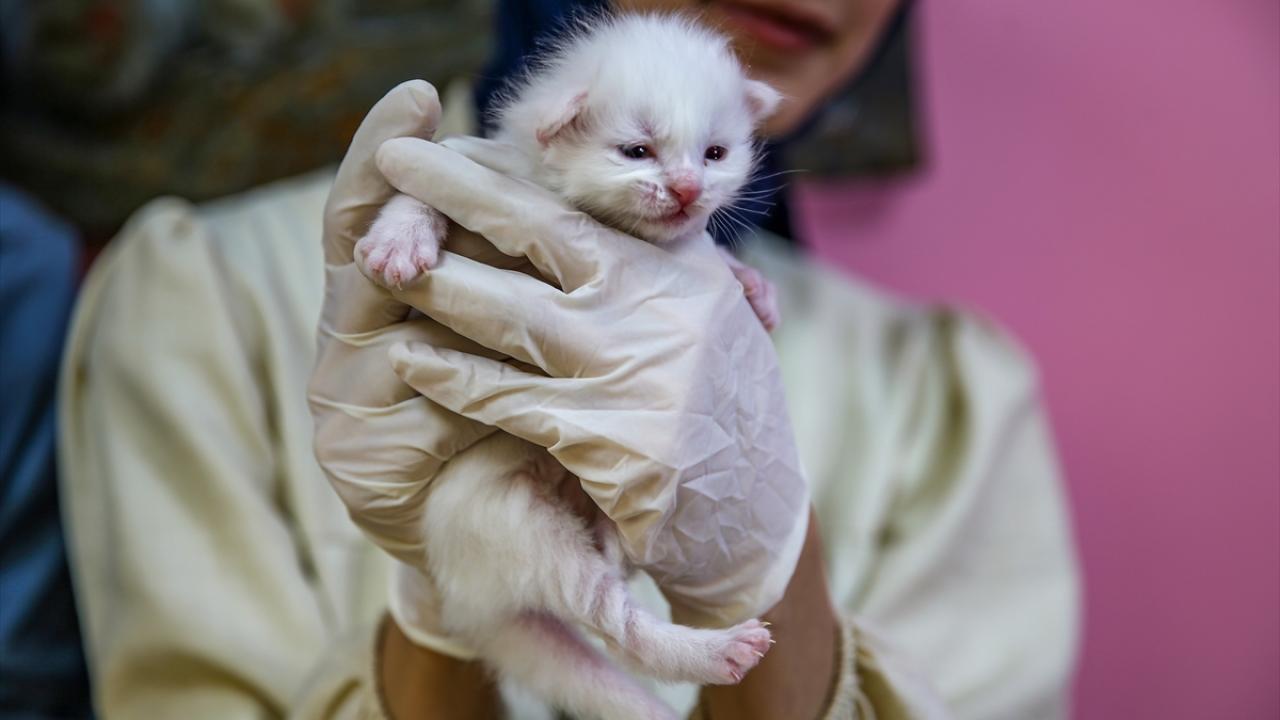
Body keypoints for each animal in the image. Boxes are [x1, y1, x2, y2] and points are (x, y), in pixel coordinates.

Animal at [357, 14, 782, 720]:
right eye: (636, 150)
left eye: (715, 154)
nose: (690, 189)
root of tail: (467, 599)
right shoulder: (486, 174)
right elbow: (427, 187)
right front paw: (399, 238)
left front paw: (753, 288)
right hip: (507, 518)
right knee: (610, 615)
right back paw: (715, 650)